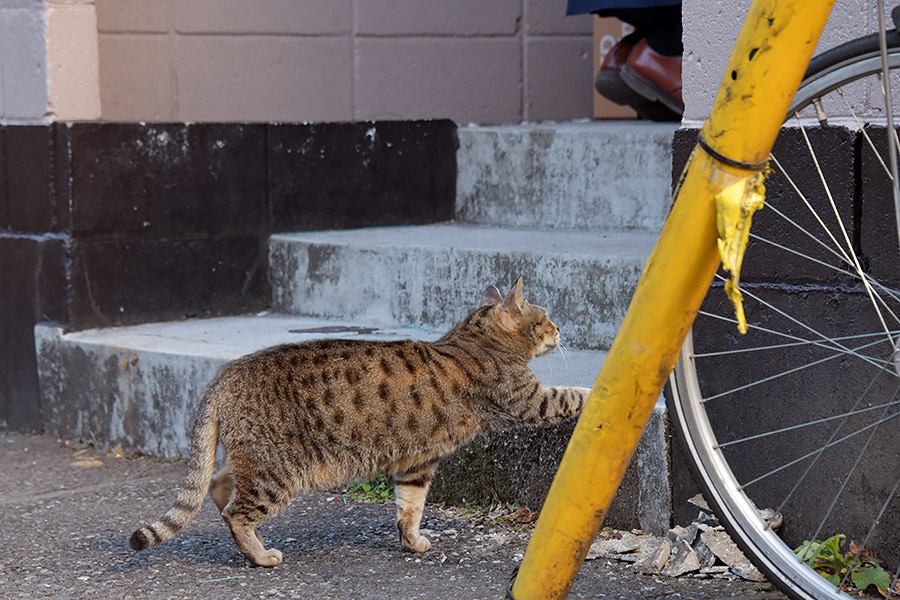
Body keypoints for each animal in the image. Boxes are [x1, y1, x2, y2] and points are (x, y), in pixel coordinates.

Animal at [128, 278, 592, 564]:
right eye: (546, 318)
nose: (560, 329)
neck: (473, 338)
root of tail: (225, 374)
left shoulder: (416, 464)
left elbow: (410, 508)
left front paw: (412, 542)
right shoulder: (527, 400)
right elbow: (569, 394)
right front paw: (594, 390)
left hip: (251, 460)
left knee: (217, 485)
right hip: (275, 472)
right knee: (235, 512)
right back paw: (260, 555)